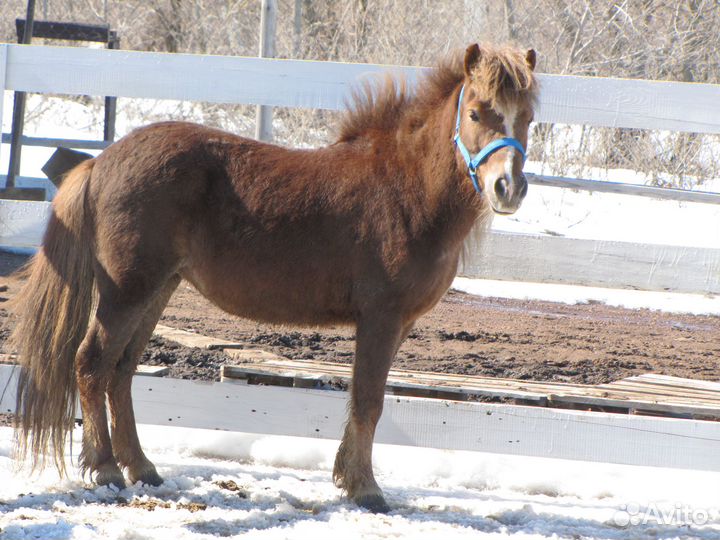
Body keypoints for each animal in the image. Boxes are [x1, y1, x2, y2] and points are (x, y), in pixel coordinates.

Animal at [9, 43, 537, 513]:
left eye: (528, 119)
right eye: (476, 112)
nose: (507, 188)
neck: (405, 188)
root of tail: (100, 161)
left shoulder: (399, 323)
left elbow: (363, 401)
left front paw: (348, 478)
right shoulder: (381, 319)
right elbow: (368, 401)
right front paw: (367, 490)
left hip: (159, 289)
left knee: (120, 373)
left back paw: (142, 467)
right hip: (127, 291)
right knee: (92, 364)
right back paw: (106, 470)